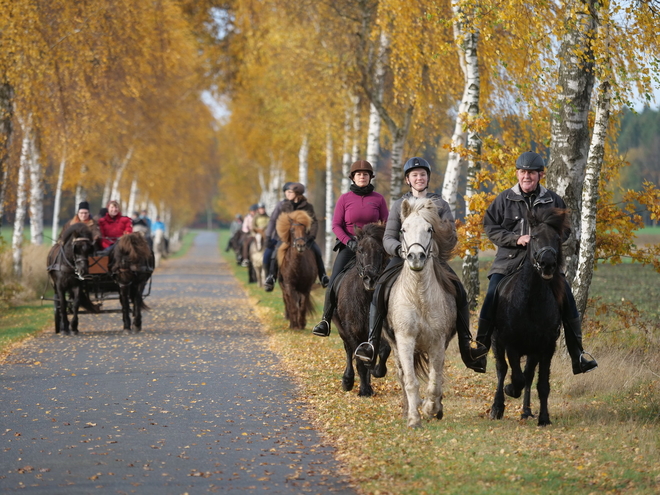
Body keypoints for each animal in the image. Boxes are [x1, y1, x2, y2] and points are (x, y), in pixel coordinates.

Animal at [332, 223, 390, 398]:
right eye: (360, 250)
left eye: (381, 251)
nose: (370, 278)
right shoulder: (351, 330)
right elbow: (359, 358)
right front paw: (363, 390)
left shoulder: (377, 330)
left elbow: (383, 350)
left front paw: (376, 372)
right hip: (341, 329)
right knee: (348, 350)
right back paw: (348, 381)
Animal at [386, 196, 458, 428]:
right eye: (403, 229)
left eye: (429, 229)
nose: (416, 256)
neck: (419, 296)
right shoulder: (405, 339)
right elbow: (410, 381)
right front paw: (414, 418)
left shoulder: (438, 342)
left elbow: (435, 383)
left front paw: (430, 408)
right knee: (402, 376)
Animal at [490, 207, 568, 428]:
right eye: (534, 237)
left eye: (557, 238)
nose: (547, 263)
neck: (530, 302)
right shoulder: (511, 344)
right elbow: (516, 377)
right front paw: (509, 390)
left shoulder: (546, 347)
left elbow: (540, 384)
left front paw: (544, 418)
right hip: (497, 342)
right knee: (502, 370)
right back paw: (497, 407)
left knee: (529, 375)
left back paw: (526, 411)